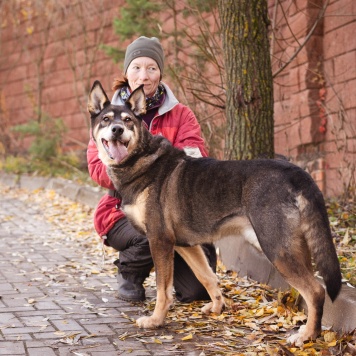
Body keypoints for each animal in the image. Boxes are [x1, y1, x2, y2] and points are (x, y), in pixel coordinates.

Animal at [87, 81, 340, 348]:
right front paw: (218, 307)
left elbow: (163, 289)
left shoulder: (159, 240)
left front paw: (156, 320)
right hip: (295, 247)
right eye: (106, 119)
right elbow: (207, 276)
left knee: (316, 291)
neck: (140, 160)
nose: (116, 130)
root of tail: (296, 172)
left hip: (277, 249)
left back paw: (307, 335)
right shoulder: (185, 246)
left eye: (127, 120)